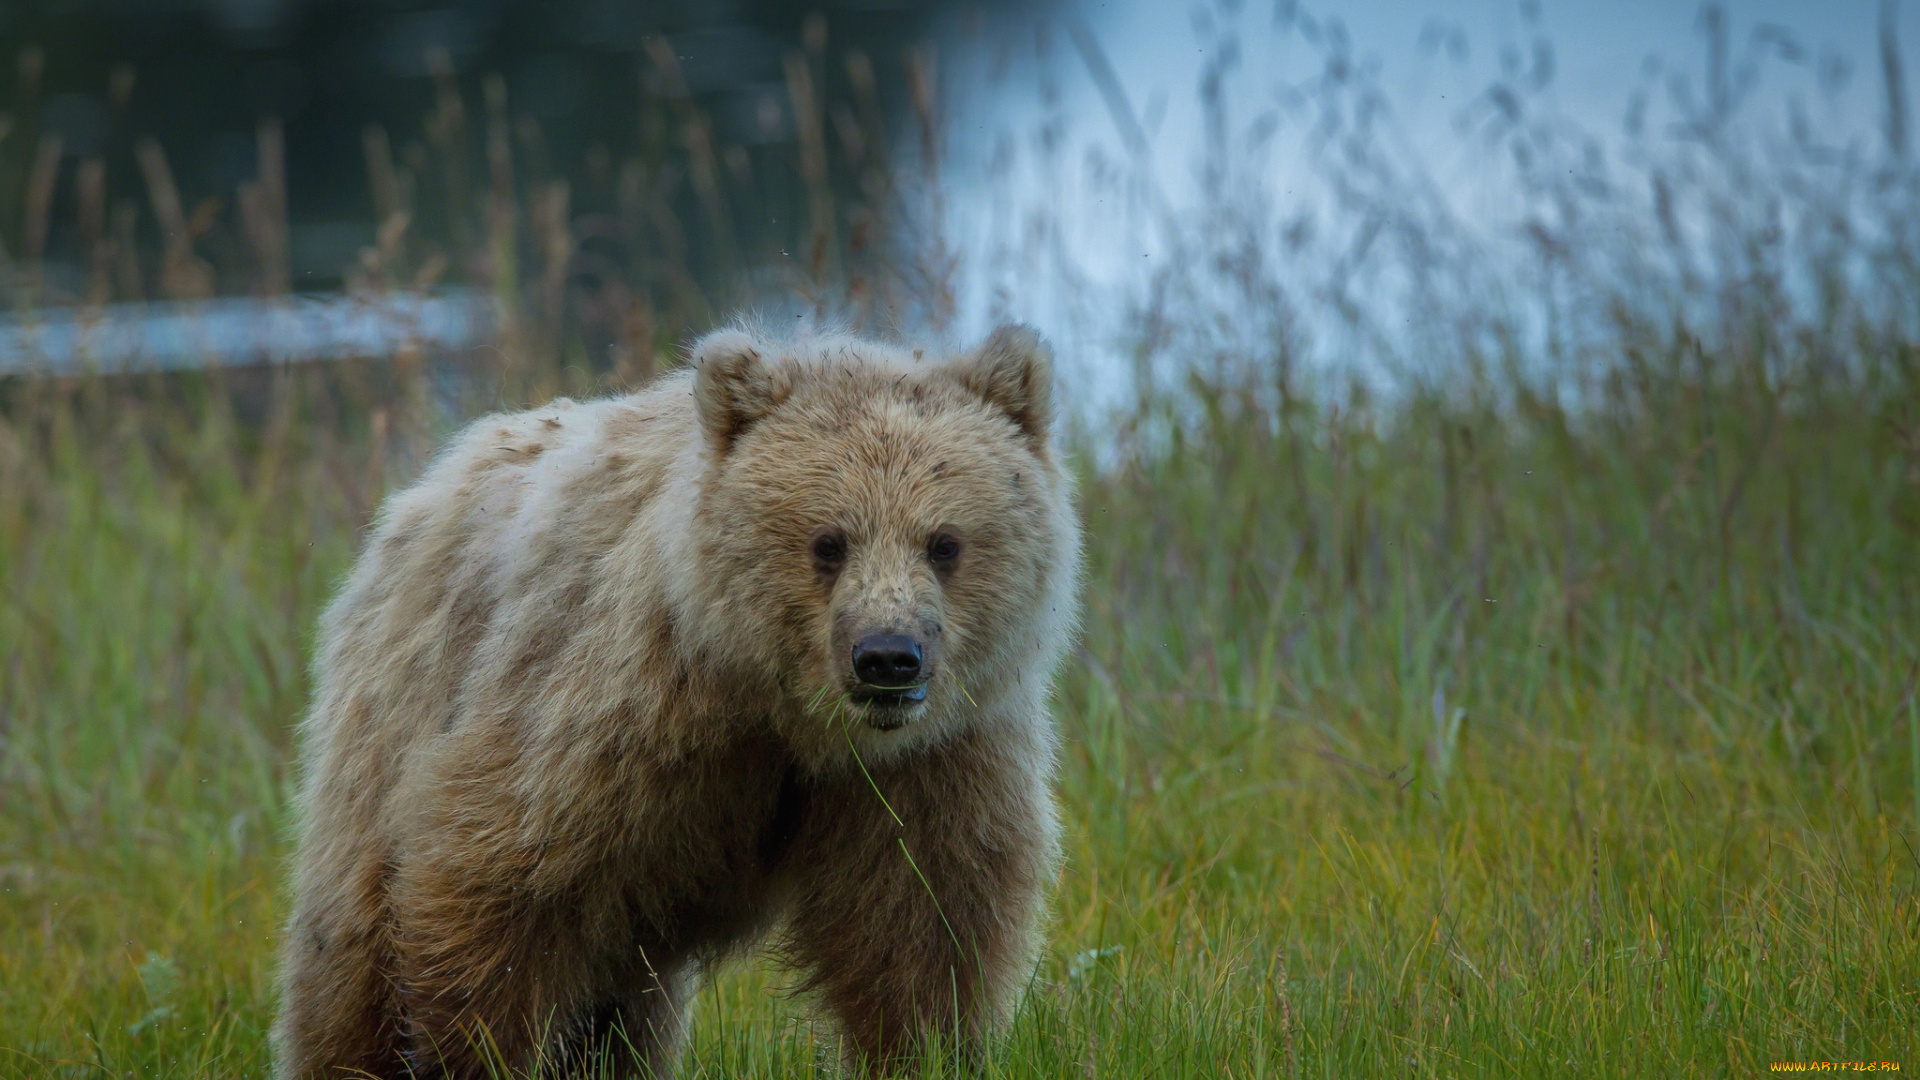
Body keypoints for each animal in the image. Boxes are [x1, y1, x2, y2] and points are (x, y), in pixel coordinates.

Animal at [270, 320, 1082, 1076]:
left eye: (944, 542)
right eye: (829, 541)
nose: (887, 657)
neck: (780, 713)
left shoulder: (932, 759)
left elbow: (921, 922)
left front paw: (927, 1048)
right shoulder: (615, 712)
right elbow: (497, 879)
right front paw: (469, 1052)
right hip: (394, 713)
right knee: (348, 953)